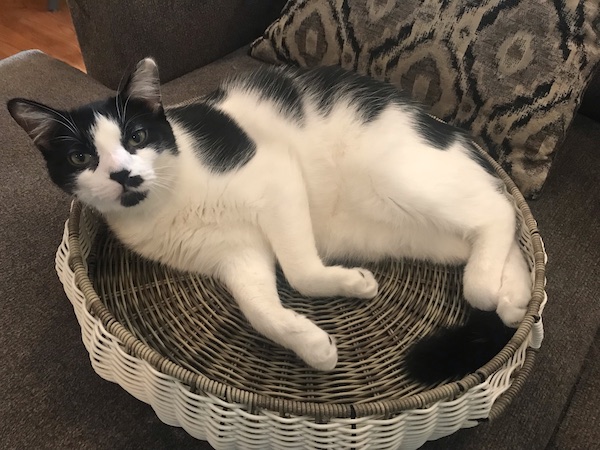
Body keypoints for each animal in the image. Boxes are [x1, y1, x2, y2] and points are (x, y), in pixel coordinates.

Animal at [8, 58, 528, 382]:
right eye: (80, 157)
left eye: (136, 136)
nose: (122, 174)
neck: (168, 202)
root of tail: (453, 134)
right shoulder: (235, 255)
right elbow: (258, 311)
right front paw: (312, 344)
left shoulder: (277, 180)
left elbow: (299, 271)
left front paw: (351, 285)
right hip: (405, 231)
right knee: (493, 236)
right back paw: (512, 298)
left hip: (399, 178)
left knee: (498, 210)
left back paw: (484, 286)